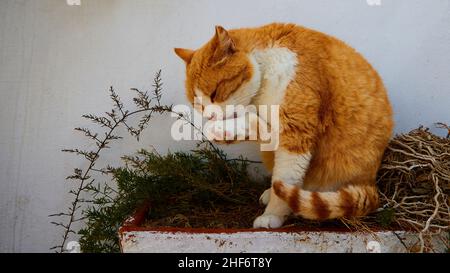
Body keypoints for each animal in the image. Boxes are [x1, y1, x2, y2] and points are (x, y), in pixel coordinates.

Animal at [176, 22, 394, 227]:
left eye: (215, 93)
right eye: (197, 104)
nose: (210, 116)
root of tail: (372, 183)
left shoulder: (297, 131)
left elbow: (285, 179)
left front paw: (273, 215)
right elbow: (260, 128)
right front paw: (224, 132)